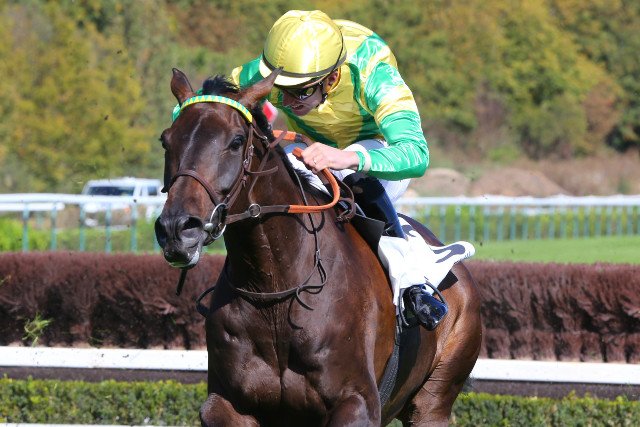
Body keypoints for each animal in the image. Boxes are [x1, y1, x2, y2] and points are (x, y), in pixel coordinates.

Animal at [154, 68, 482, 426]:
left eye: (236, 141)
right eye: (166, 140)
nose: (176, 229)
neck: (275, 289)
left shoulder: (357, 403)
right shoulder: (227, 405)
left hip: (433, 401)